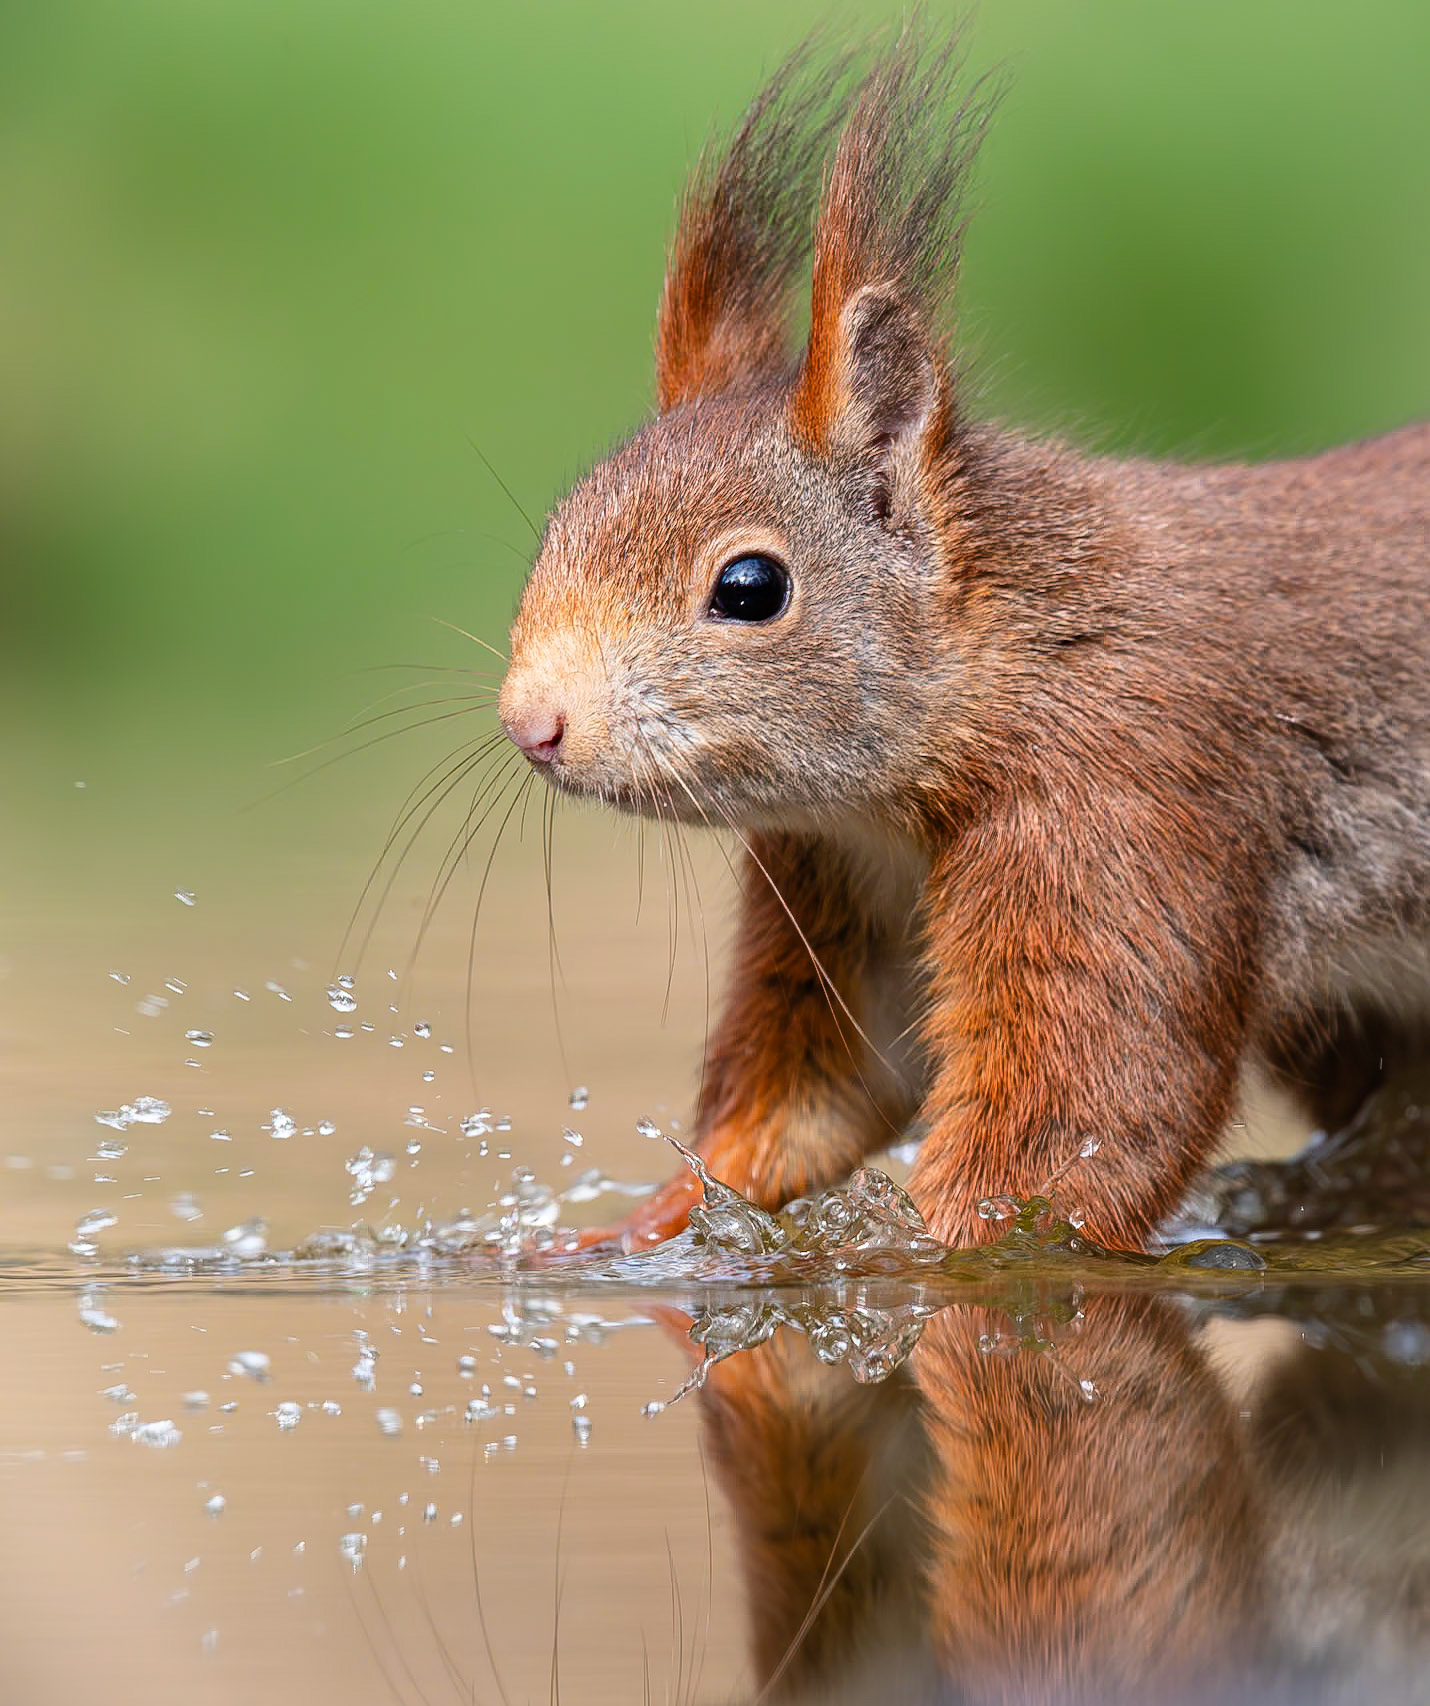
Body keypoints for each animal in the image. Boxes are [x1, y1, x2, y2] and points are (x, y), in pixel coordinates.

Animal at [496, 32, 1430, 1253]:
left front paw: (931, 1254)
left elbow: (1071, 1131)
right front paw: (641, 1228)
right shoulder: (847, 877)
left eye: (750, 587)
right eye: (560, 524)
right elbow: (819, 1093)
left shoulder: (1120, 808)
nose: (533, 723)